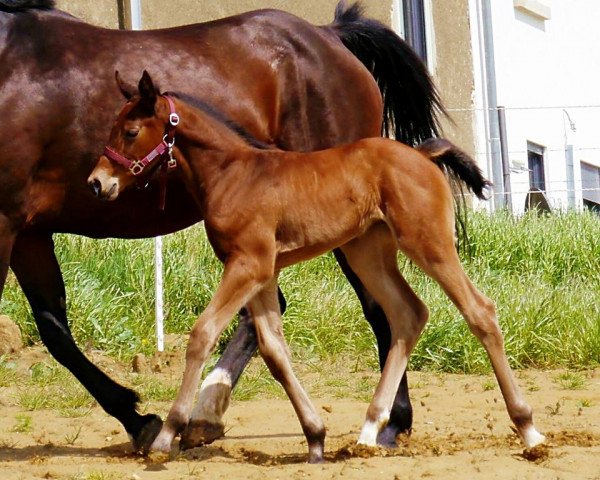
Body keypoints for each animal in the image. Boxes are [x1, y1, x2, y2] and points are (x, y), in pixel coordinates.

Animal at [88, 72, 544, 462]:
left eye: (130, 132)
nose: (96, 183)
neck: (232, 174)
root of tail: (421, 154)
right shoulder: (263, 272)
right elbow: (274, 351)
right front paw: (315, 438)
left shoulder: (248, 264)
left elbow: (203, 334)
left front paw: (167, 435)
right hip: (367, 253)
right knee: (409, 314)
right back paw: (368, 432)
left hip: (428, 243)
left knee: (480, 311)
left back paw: (529, 430)